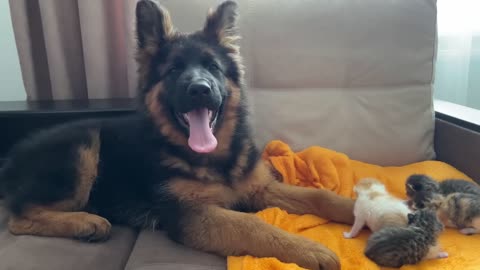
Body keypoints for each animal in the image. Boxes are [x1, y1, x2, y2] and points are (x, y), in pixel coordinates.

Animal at [0, 1, 352, 268]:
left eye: (213, 68)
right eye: (173, 70)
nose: (200, 90)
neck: (214, 159)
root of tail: (11, 159)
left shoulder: (260, 188)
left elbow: (320, 196)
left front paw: (360, 209)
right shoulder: (191, 215)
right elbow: (251, 224)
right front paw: (308, 249)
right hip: (83, 150)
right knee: (18, 217)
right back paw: (86, 223)